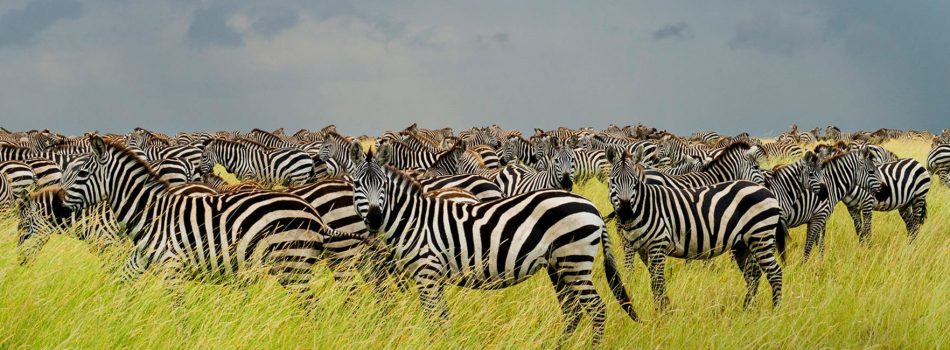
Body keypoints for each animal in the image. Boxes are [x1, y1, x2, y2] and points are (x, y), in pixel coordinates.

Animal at [59, 135, 364, 302]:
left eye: (82, 174)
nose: (59, 209)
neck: (152, 213)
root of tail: (313, 215)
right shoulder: (141, 260)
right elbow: (120, 284)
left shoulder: (173, 269)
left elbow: (178, 312)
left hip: (293, 266)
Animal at [350, 144, 640, 346]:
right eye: (357, 185)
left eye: (383, 185)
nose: (374, 218)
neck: (414, 220)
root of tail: (592, 207)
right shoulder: (434, 277)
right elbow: (443, 318)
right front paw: (447, 342)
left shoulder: (427, 275)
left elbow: (433, 319)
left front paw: (434, 342)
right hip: (559, 267)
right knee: (572, 311)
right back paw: (558, 345)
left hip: (575, 262)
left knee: (597, 309)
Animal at [608, 148, 788, 308]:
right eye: (612, 181)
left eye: (635, 182)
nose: (625, 212)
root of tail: (768, 193)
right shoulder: (645, 248)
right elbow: (655, 281)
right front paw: (662, 309)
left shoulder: (658, 245)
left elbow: (657, 282)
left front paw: (664, 313)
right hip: (744, 243)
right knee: (754, 274)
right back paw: (748, 308)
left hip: (760, 237)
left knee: (774, 273)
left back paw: (775, 311)